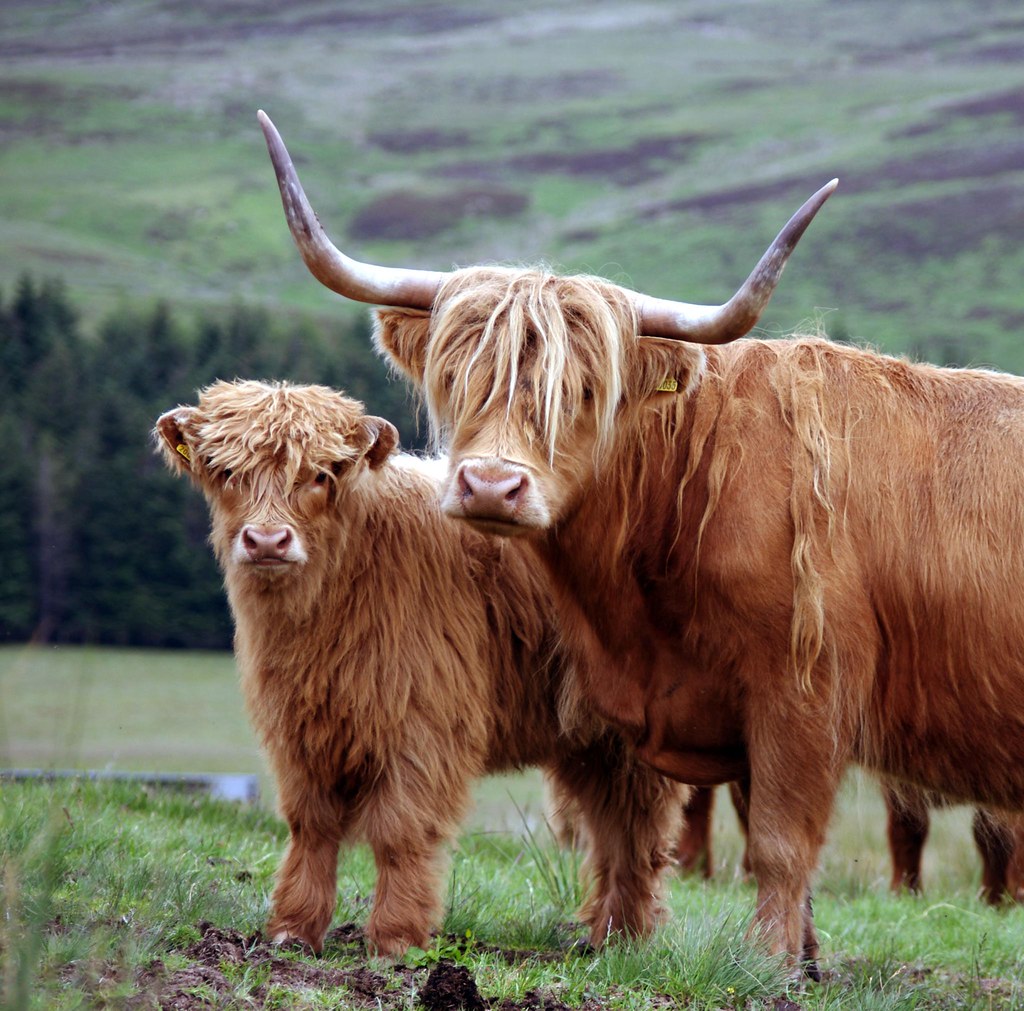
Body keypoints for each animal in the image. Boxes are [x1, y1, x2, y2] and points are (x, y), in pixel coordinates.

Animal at [154, 379, 685, 957]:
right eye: (226, 471)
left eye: (322, 474)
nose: (268, 541)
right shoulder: (298, 728)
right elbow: (311, 827)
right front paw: (293, 930)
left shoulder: (423, 725)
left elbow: (400, 832)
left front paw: (395, 940)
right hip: (590, 741)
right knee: (612, 830)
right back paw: (605, 938)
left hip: (636, 741)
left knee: (637, 831)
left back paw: (626, 941)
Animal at [258, 109, 1024, 975]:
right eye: (459, 376)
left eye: (585, 391)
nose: (490, 485)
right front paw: (802, 957)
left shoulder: (804, 691)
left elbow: (780, 842)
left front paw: (764, 963)